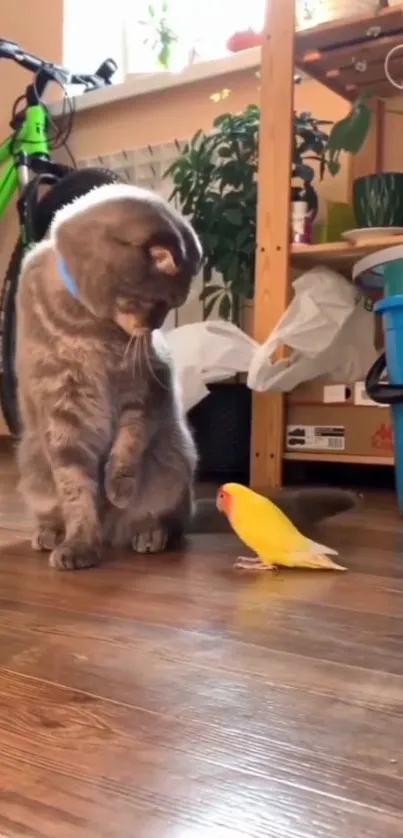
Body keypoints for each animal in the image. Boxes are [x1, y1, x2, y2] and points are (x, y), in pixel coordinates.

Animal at [16, 184, 202, 572]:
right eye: (161, 303)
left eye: (172, 306)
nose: (155, 328)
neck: (88, 324)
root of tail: (113, 533)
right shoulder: (61, 408)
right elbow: (74, 487)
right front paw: (79, 544)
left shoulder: (145, 389)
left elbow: (129, 445)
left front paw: (117, 489)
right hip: (33, 466)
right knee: (51, 510)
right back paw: (48, 533)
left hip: (176, 461)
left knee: (172, 522)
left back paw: (149, 534)